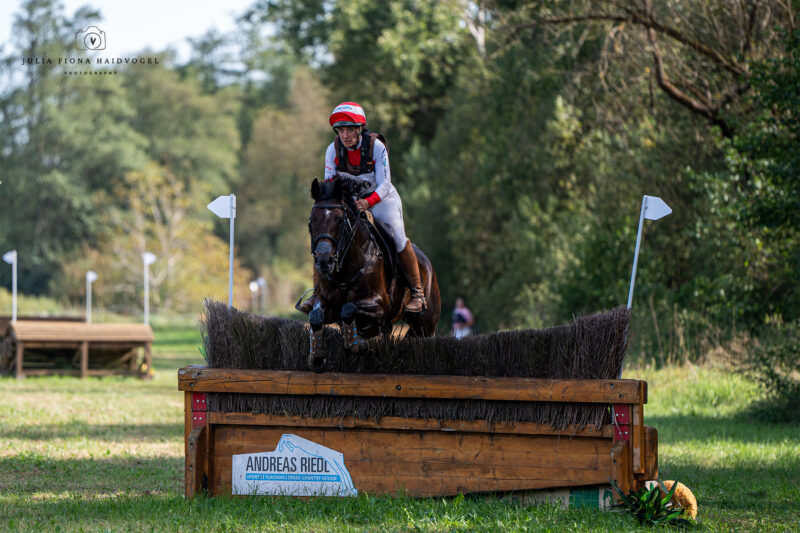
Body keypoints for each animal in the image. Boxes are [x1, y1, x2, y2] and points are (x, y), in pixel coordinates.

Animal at [302, 177, 440, 372]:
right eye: (312, 221)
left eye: (339, 220)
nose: (324, 262)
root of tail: (428, 264)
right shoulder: (327, 302)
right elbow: (316, 315)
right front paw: (317, 357)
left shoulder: (379, 306)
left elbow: (348, 309)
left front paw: (357, 345)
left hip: (425, 326)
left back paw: (417, 300)